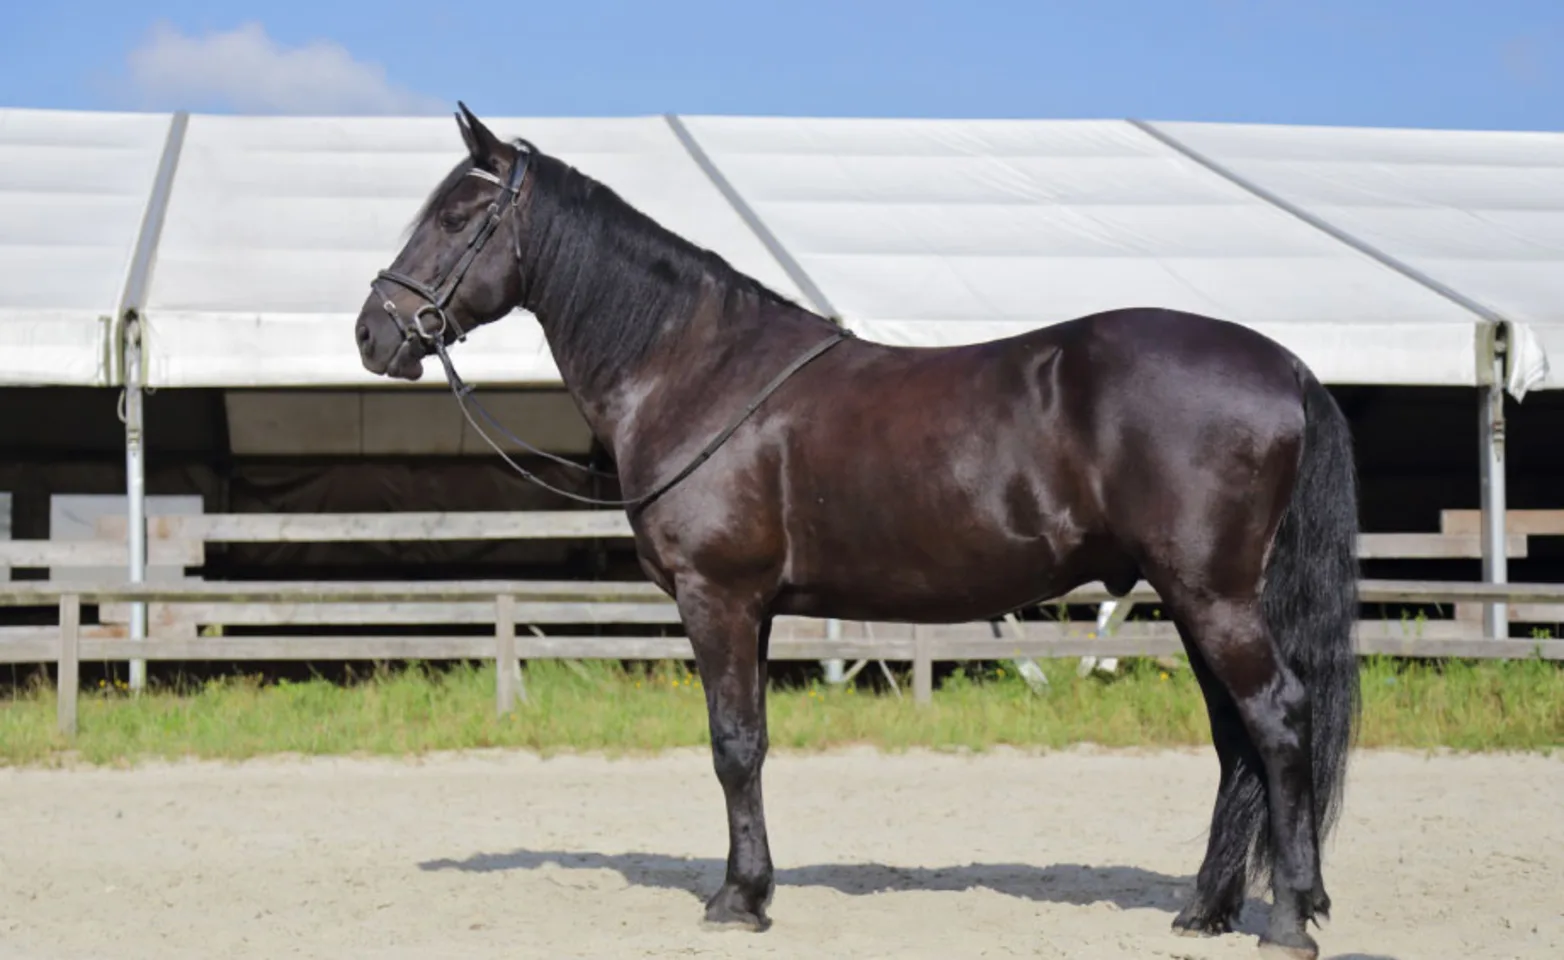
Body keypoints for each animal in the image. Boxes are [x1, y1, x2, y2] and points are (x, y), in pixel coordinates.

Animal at [354, 104, 1361, 960]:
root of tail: (1284, 363)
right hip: (1195, 600)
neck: (694, 369)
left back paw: (1287, 919)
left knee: (1278, 719)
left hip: (1213, 596)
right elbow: (751, 740)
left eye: (457, 217)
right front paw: (753, 890)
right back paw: (1206, 911)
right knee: (1235, 739)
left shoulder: (717, 598)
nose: (373, 333)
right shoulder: (756, 610)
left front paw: (737, 901)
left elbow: (733, 746)